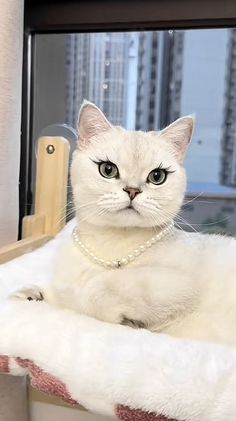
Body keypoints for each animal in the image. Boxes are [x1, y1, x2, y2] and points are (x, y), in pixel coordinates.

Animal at [15, 101, 236, 344]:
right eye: (108, 169)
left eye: (157, 176)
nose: (132, 190)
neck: (111, 246)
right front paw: (32, 295)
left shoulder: (177, 283)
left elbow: (98, 288)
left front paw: (125, 319)